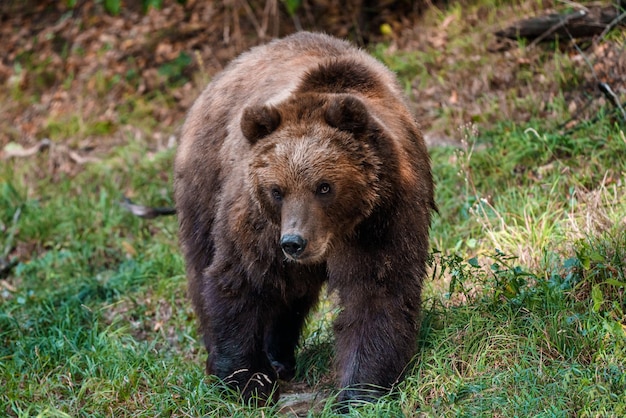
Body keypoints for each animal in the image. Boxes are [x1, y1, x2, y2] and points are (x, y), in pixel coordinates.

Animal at [172, 31, 434, 406]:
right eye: (277, 189)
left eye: (324, 186)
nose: (294, 242)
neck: (339, 231)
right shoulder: (259, 221)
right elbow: (240, 278)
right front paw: (247, 381)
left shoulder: (385, 215)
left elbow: (378, 291)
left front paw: (360, 391)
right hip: (205, 181)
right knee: (204, 264)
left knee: (293, 294)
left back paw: (280, 355)